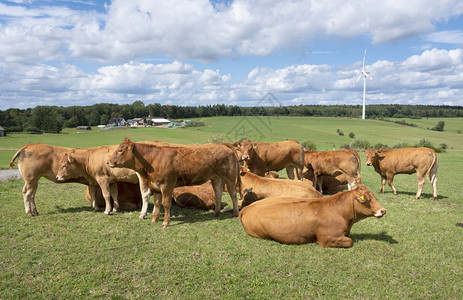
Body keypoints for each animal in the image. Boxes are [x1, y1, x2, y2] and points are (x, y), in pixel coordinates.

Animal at [107, 138, 241, 227]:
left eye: (120, 150)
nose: (108, 162)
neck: (152, 161)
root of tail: (222, 144)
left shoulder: (167, 185)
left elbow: (166, 203)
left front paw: (166, 222)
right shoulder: (155, 186)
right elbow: (157, 203)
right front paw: (154, 219)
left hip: (230, 177)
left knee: (233, 194)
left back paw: (235, 212)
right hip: (216, 177)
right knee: (218, 193)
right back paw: (216, 212)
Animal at [239, 184, 388, 247]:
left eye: (374, 196)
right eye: (367, 200)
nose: (383, 210)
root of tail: (247, 208)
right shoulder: (327, 238)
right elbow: (350, 241)